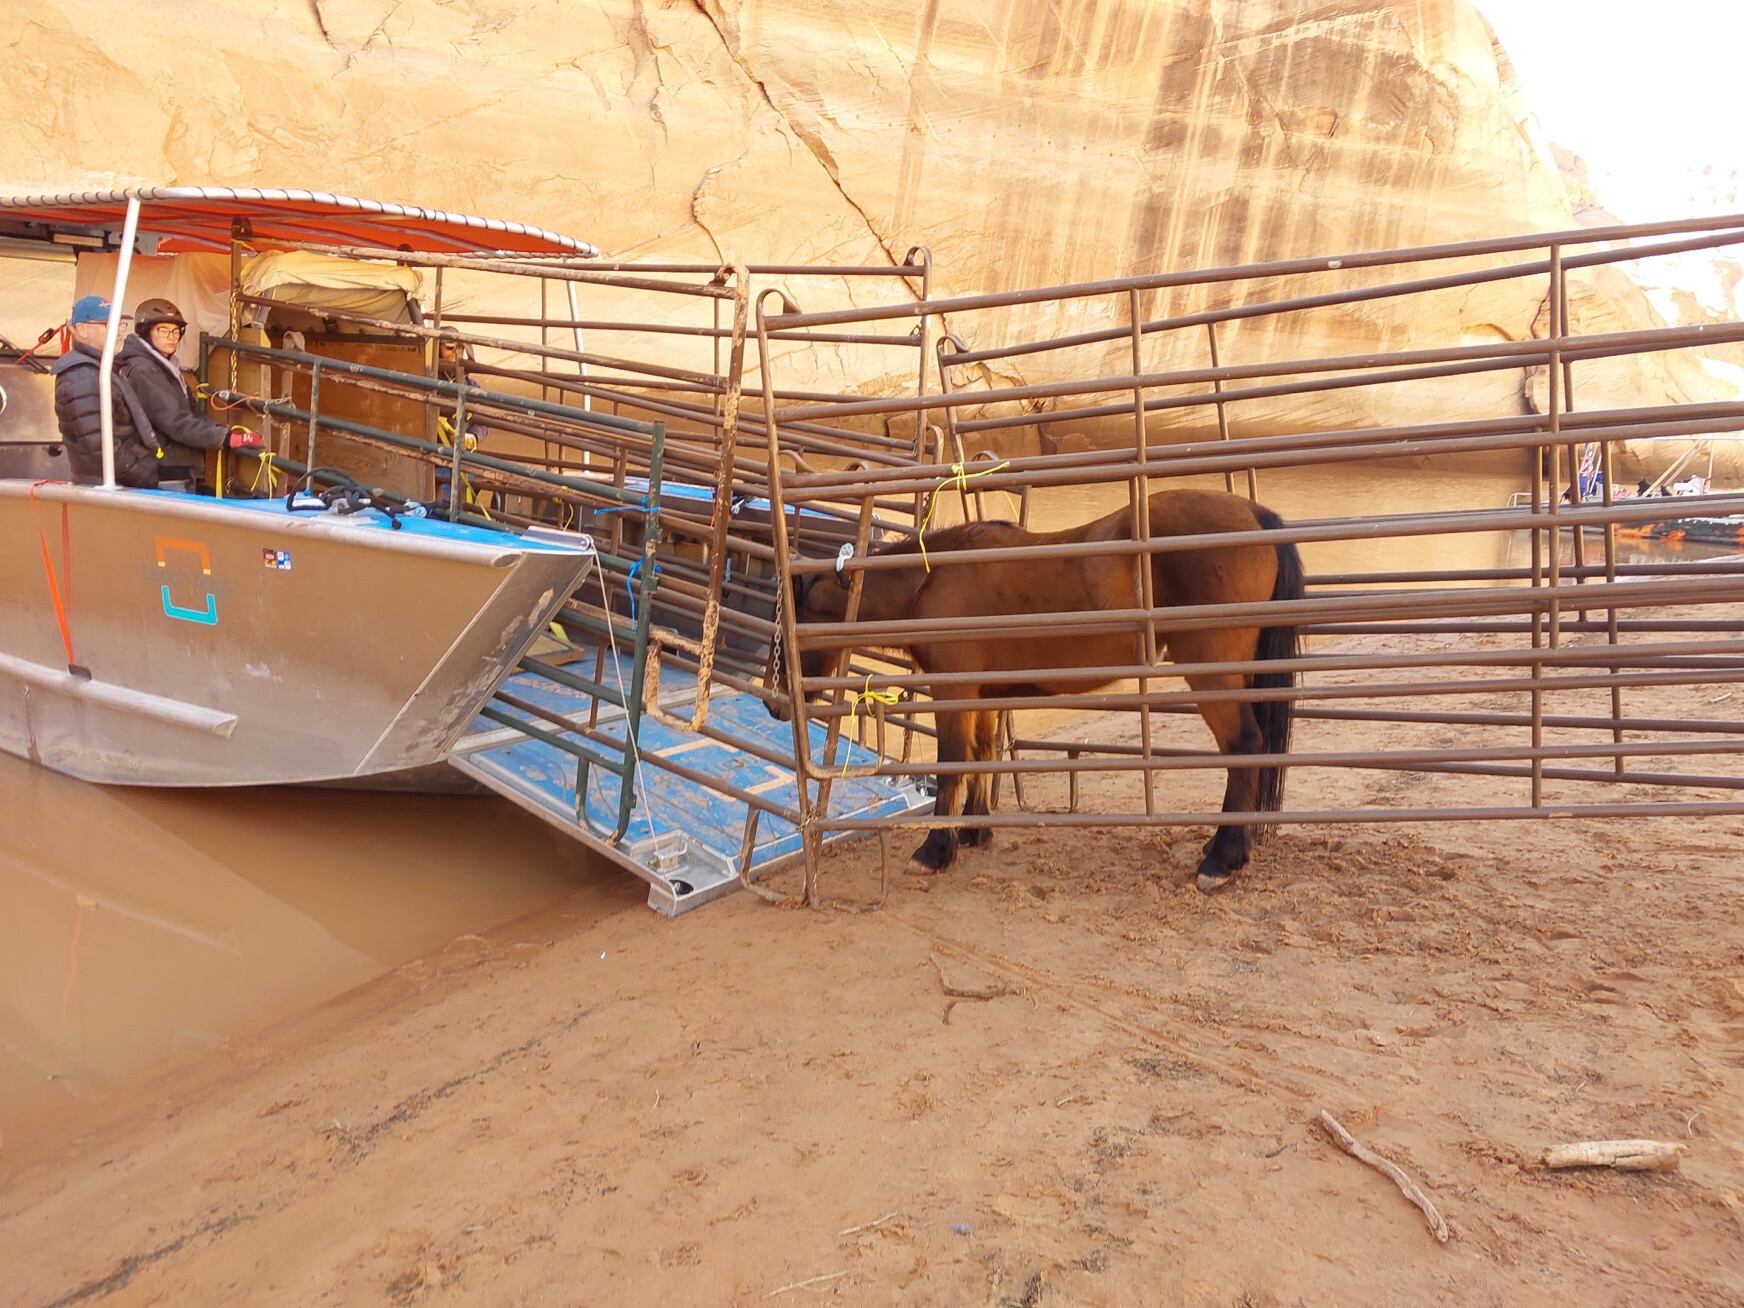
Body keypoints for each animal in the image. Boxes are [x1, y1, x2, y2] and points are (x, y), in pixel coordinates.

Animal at [766, 488, 1304, 893]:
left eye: (786, 626)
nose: (774, 705)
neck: (932, 581)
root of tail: (1254, 517)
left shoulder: (953, 691)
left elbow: (952, 763)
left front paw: (935, 851)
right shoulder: (982, 694)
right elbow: (982, 755)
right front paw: (974, 831)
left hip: (1212, 672)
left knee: (1245, 746)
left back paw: (1221, 860)